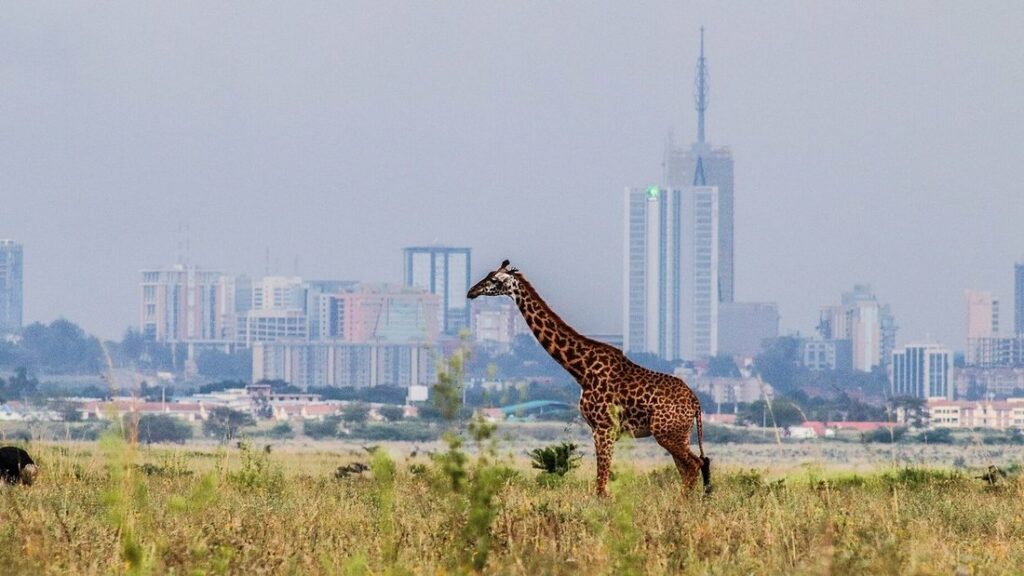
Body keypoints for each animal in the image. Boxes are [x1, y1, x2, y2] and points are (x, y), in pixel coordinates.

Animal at [468, 259, 711, 496]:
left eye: (494, 280)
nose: (471, 292)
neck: (581, 369)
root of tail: (695, 402)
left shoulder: (604, 428)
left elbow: (601, 487)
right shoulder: (598, 429)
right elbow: (602, 484)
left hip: (667, 433)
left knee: (695, 465)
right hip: (679, 434)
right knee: (691, 467)